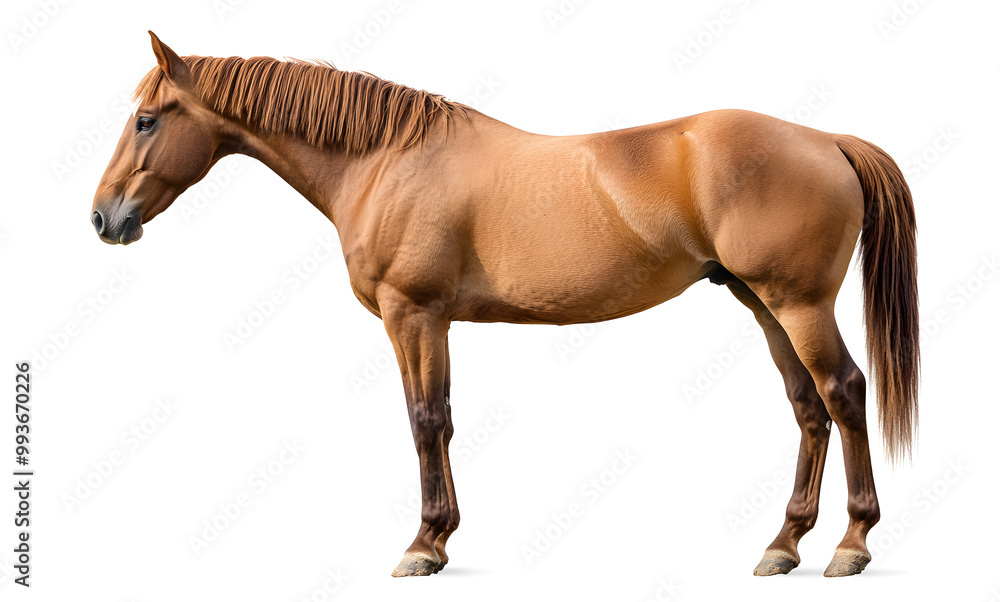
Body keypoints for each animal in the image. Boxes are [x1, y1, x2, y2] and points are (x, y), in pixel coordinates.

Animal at [91, 32, 918, 578]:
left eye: (146, 119)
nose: (103, 219)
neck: (385, 160)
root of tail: (825, 139)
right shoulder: (426, 321)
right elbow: (438, 419)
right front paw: (439, 537)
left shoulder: (414, 314)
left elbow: (426, 421)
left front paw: (424, 545)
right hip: (764, 305)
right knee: (808, 409)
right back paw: (783, 546)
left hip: (799, 304)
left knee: (844, 393)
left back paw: (851, 545)